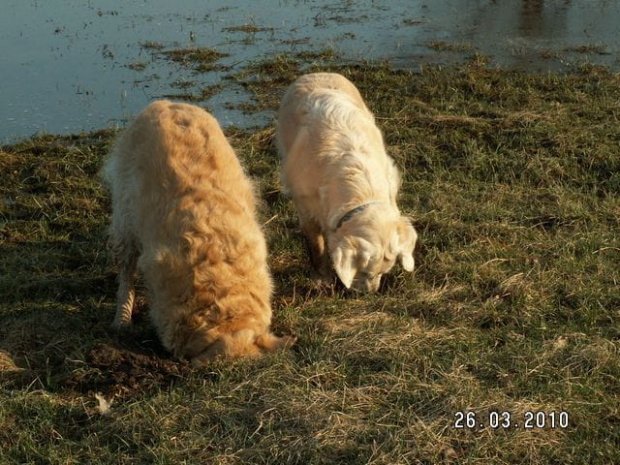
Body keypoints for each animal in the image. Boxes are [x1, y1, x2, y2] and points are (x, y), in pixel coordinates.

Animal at [278, 72, 418, 290]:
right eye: (365, 273)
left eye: (383, 273)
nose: (371, 292)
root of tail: (316, 73)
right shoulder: (306, 204)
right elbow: (316, 245)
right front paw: (321, 279)